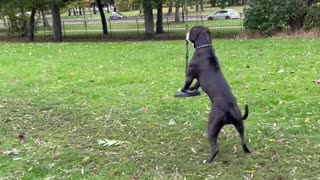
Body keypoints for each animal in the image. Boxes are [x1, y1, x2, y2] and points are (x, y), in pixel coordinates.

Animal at [180, 25, 250, 163]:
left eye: (191, 30)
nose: (186, 32)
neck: (205, 46)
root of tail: (230, 109)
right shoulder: (199, 80)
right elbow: (196, 85)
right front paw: (193, 89)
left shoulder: (190, 75)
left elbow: (186, 85)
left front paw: (184, 90)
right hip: (240, 125)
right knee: (243, 140)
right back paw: (247, 151)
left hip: (212, 126)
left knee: (215, 148)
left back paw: (208, 161)